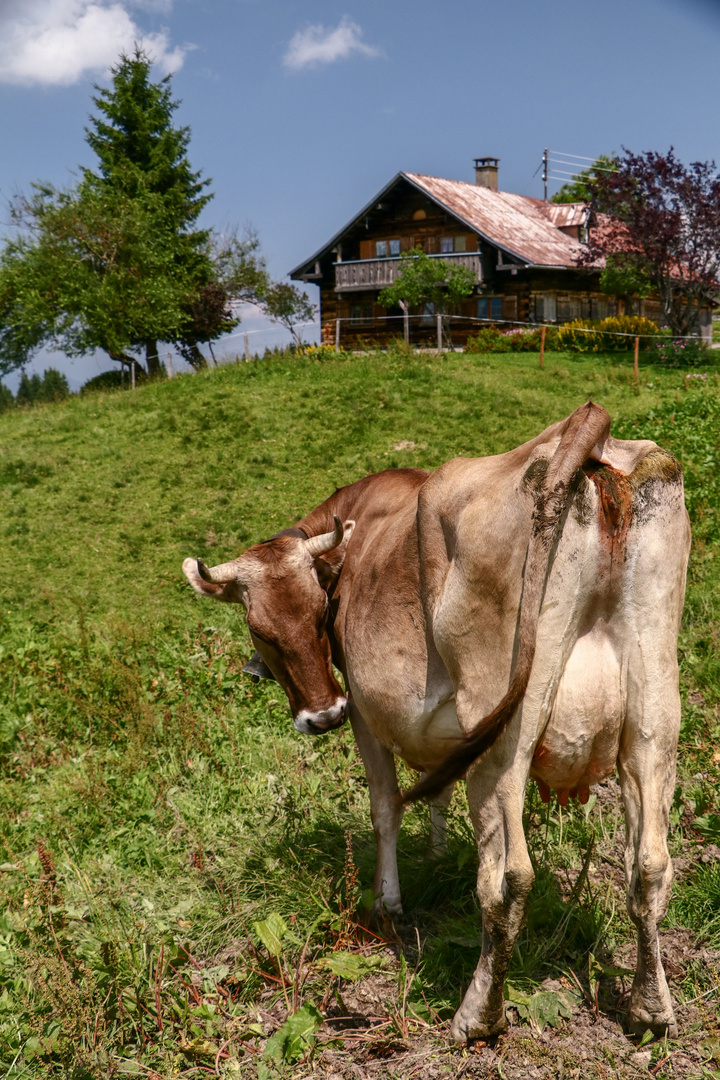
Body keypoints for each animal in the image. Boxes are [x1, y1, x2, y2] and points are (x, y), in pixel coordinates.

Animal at [183, 401, 690, 1041]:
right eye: (264, 630)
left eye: (319, 615)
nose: (322, 715)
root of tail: (583, 437)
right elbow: (436, 790)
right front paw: (439, 851)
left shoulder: (366, 715)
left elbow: (384, 806)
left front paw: (388, 902)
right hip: (653, 710)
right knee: (649, 865)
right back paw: (651, 1008)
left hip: (505, 737)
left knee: (508, 879)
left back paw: (478, 1014)